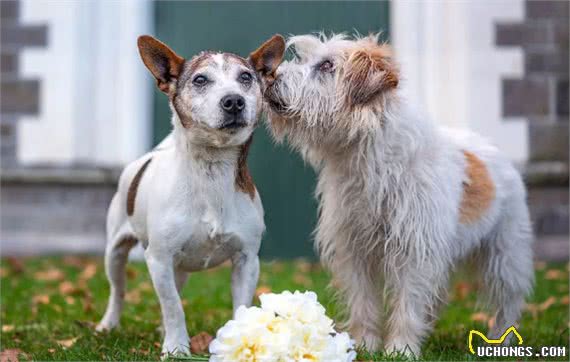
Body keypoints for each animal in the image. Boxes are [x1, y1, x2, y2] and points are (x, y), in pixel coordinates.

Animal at [95, 35, 286, 358]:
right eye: (200, 80)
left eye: (245, 78)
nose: (234, 100)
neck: (211, 172)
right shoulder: (159, 259)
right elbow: (173, 307)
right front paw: (176, 348)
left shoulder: (247, 260)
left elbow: (240, 306)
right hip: (116, 253)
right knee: (118, 291)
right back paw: (108, 324)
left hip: (179, 267)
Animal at [262, 34, 532, 356]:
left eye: (327, 65)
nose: (268, 78)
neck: (363, 156)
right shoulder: (355, 250)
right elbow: (363, 303)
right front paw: (365, 346)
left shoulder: (414, 252)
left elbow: (407, 303)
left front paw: (401, 349)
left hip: (506, 257)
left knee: (507, 303)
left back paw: (501, 340)